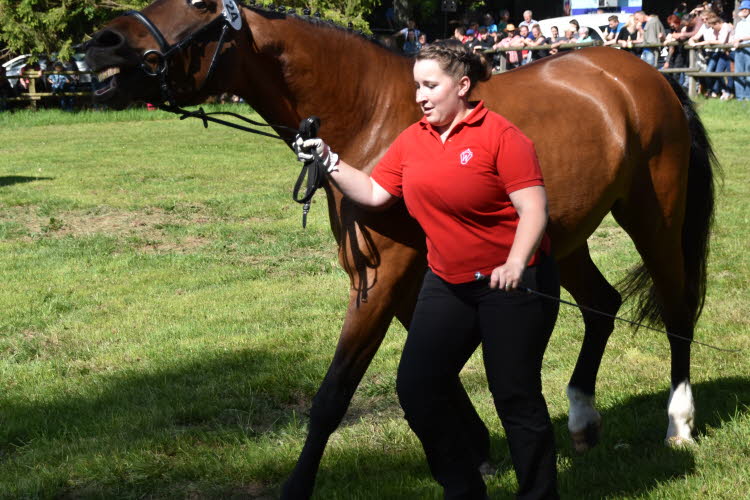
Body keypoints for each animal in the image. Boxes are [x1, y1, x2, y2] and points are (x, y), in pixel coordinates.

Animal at [83, 1, 716, 498]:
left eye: (198, 4)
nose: (101, 43)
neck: (371, 114)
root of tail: (646, 74)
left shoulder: (381, 277)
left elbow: (335, 392)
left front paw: (296, 486)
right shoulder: (415, 279)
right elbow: (437, 370)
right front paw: (476, 450)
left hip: (653, 216)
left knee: (677, 308)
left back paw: (679, 422)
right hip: (564, 240)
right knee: (601, 303)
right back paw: (583, 418)